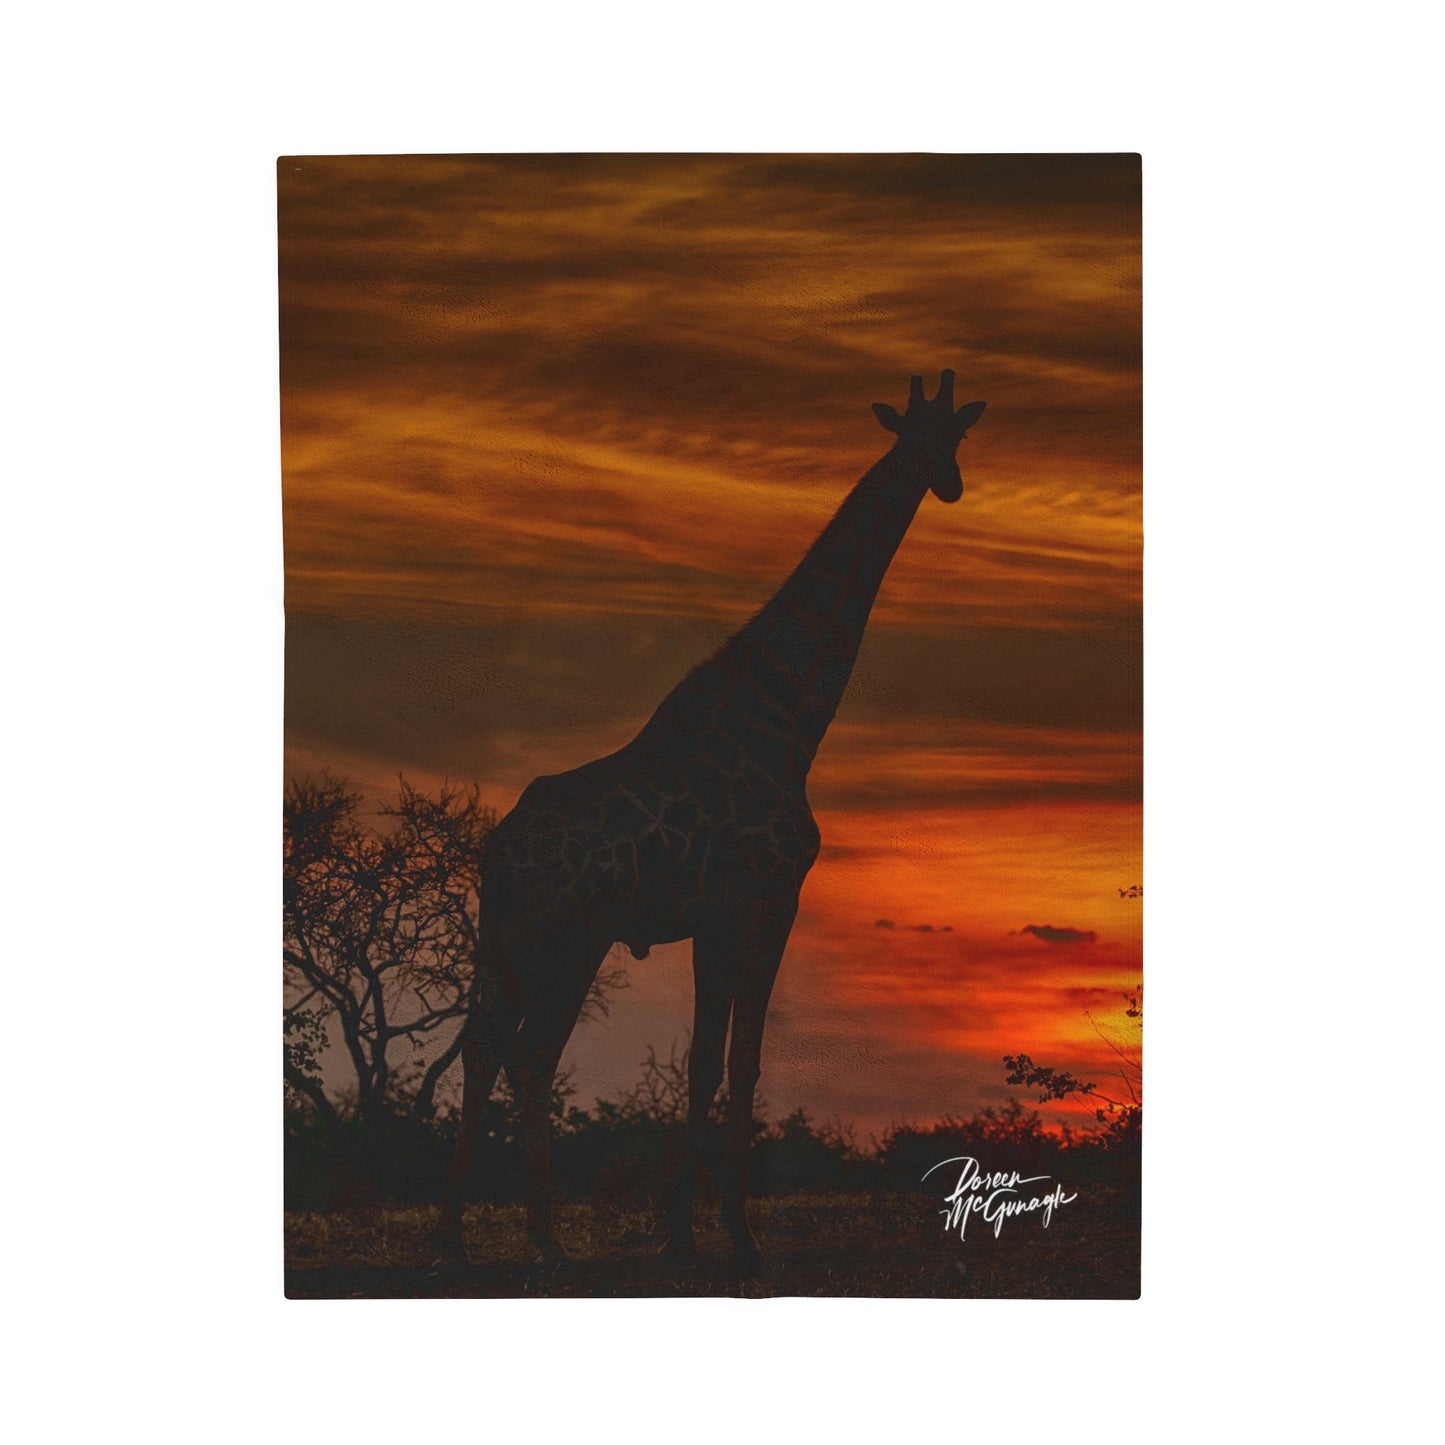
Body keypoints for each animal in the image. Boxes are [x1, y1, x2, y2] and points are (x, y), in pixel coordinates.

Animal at [435, 370, 985, 1265]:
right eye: (922, 437)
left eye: (957, 436)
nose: (948, 483)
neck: (788, 722)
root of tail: (500, 848)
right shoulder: (765, 904)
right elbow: (744, 1062)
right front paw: (739, 1230)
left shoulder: (715, 921)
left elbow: (702, 1065)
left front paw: (683, 1233)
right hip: (571, 933)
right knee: (532, 1052)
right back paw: (544, 1241)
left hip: (506, 932)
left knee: (486, 1046)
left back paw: (453, 1237)